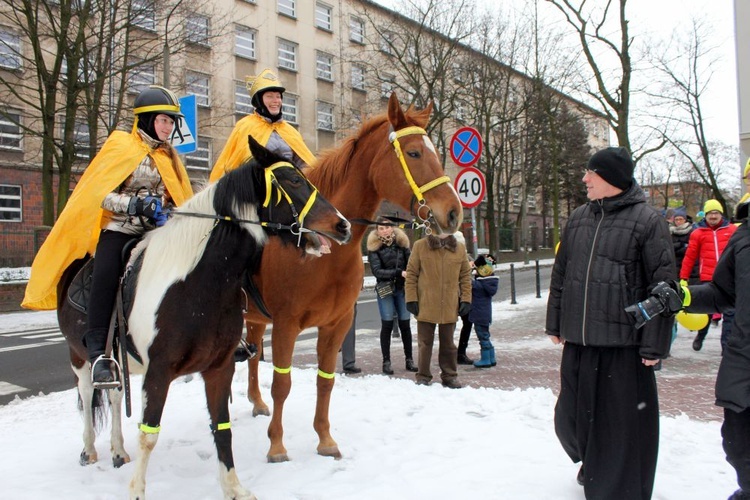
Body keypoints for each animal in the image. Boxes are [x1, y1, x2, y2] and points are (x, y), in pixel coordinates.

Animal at [57, 138, 352, 500]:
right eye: (295, 181)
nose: (343, 225)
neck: (197, 282)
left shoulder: (219, 367)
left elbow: (222, 429)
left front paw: (234, 487)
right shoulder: (158, 370)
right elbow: (149, 434)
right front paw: (137, 490)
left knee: (113, 396)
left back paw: (117, 451)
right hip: (80, 356)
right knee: (88, 395)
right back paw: (89, 450)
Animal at [244, 93, 464, 460]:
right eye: (414, 153)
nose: (453, 213)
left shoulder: (337, 324)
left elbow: (325, 380)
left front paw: (325, 439)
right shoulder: (286, 325)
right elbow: (282, 384)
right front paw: (276, 444)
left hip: (255, 318)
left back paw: (255, 402)